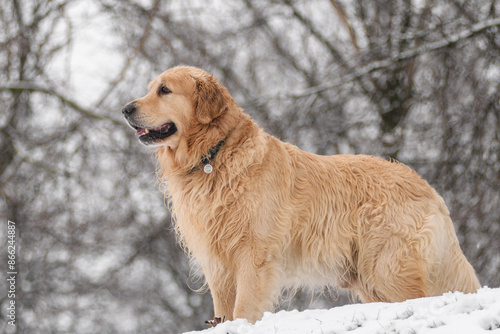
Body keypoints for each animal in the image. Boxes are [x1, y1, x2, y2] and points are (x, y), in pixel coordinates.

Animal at [122, 65, 480, 324]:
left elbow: (243, 309)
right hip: (369, 278)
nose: (125, 109)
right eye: (151, 88)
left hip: (388, 267)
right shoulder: (218, 261)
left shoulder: (253, 254)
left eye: (164, 90)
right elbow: (223, 311)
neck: (215, 154)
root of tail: (428, 187)